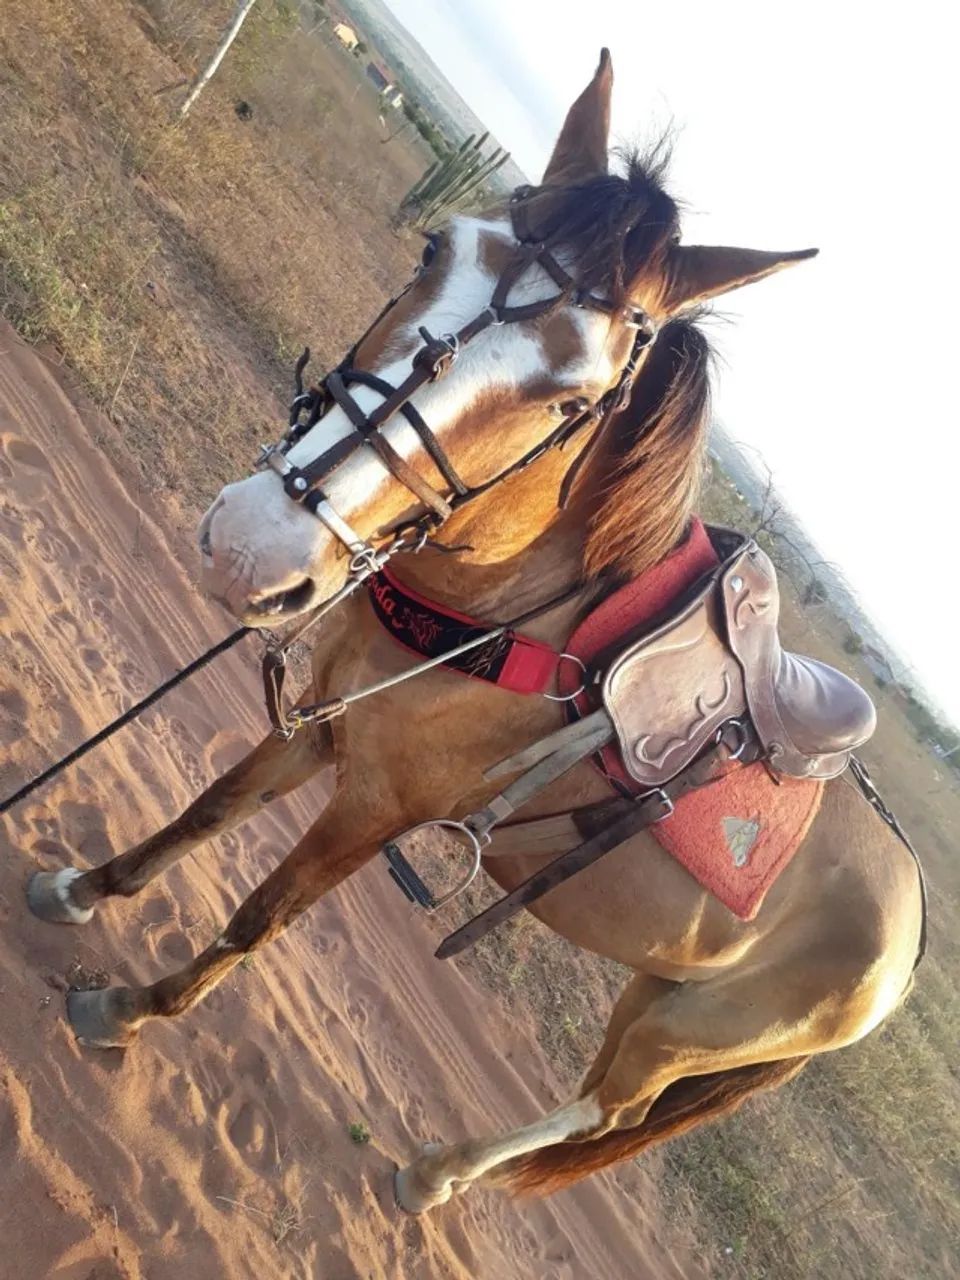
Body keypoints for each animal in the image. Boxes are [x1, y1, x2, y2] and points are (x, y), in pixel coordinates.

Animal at [27, 51, 922, 1212]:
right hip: (657, 992)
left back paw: (439, 1175)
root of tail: (908, 939)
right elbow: (205, 812)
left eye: (575, 400)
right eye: (433, 248)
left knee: (609, 1109)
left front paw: (130, 1009)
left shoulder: (376, 807)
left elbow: (256, 917)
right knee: (609, 1102)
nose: (253, 547)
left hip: (689, 1032)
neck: (519, 621)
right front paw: (82, 889)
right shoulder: (323, 721)